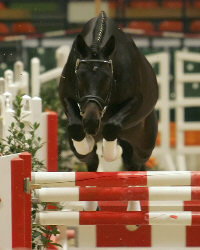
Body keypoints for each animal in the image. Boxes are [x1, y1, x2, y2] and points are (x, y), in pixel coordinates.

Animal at [58, 11, 159, 172]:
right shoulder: (65, 96)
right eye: (79, 76)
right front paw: (89, 143)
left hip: (144, 145)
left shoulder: (136, 100)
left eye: (107, 77)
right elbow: (76, 129)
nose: (91, 122)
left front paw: (112, 151)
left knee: (134, 162)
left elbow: (111, 127)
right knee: (91, 159)